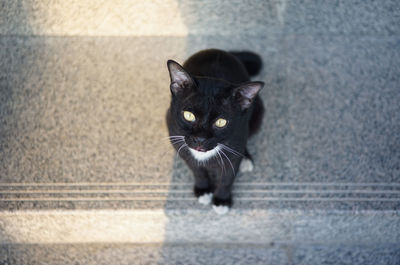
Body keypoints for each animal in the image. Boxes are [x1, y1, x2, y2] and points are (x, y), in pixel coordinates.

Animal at [166, 48, 266, 213]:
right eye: (188, 115)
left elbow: (226, 178)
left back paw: (245, 159)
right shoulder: (181, 145)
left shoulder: (235, 146)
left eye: (221, 122)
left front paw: (221, 200)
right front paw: (203, 190)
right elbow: (197, 171)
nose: (200, 139)